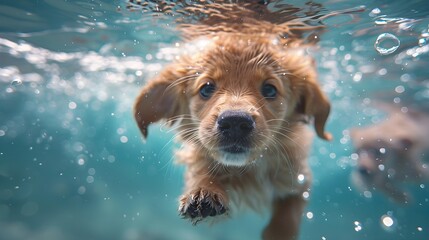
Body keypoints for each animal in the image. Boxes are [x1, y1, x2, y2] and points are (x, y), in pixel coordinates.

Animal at [132, 2, 332, 240]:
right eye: (207, 88)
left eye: (269, 89)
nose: (235, 122)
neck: (246, 171)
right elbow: (202, 169)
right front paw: (204, 190)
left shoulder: (299, 180)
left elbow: (288, 215)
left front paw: (279, 232)